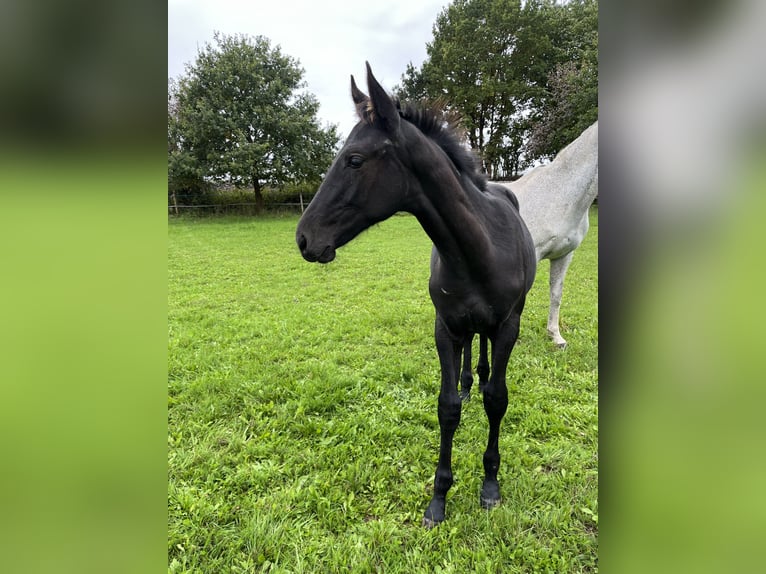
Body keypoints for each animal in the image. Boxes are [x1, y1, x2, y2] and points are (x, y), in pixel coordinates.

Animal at [296, 63, 536, 527]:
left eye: (354, 159)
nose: (304, 238)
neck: (479, 250)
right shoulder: (445, 327)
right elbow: (447, 407)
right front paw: (439, 497)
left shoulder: (507, 327)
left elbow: (497, 399)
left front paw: (490, 484)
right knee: (469, 355)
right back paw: (468, 382)